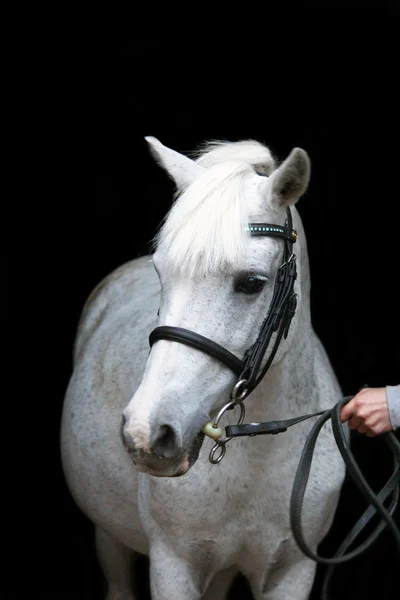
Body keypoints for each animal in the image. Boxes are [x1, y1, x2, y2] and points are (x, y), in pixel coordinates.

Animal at [61, 137, 346, 600]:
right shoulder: (173, 566)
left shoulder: (293, 569)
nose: (145, 432)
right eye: (161, 271)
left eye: (252, 283)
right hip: (110, 537)